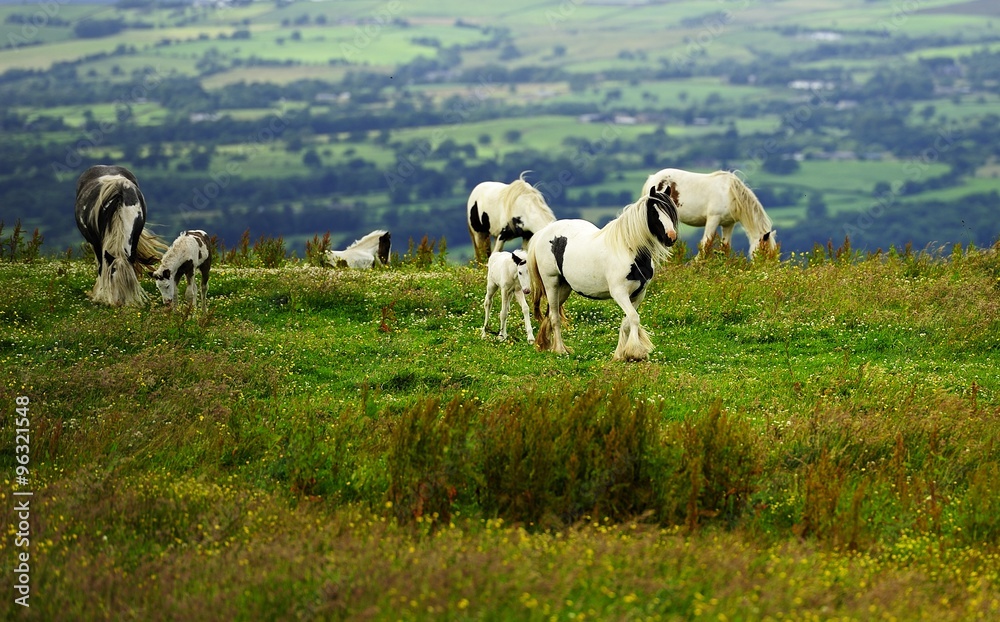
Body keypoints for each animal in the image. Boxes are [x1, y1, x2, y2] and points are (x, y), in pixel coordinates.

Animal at [74, 166, 166, 308]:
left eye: (129, 282)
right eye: (112, 276)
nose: (119, 303)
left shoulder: (135, 238)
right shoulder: (98, 244)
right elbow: (102, 267)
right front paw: (102, 295)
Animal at [532, 185, 680, 360]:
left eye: (671, 210)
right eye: (654, 211)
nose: (671, 237)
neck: (628, 250)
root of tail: (543, 232)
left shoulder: (639, 294)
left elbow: (627, 321)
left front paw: (620, 354)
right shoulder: (619, 293)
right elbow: (634, 318)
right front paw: (636, 352)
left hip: (564, 288)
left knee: (549, 314)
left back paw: (549, 345)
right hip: (551, 284)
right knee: (554, 317)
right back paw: (560, 350)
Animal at [640, 167, 772, 260]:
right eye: (764, 251)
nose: (764, 268)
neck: (730, 194)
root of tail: (652, 178)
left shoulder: (728, 224)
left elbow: (725, 247)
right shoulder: (713, 219)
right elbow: (706, 244)